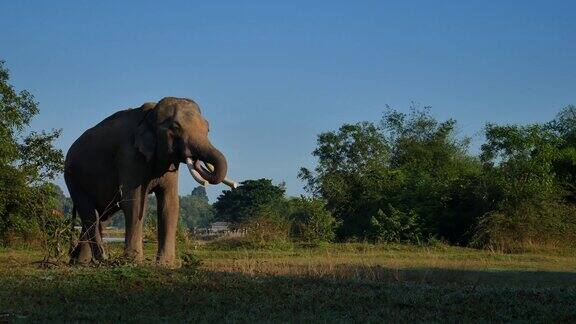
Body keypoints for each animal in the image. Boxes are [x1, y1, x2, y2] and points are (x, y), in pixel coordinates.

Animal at [65, 97, 227, 268]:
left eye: (208, 129)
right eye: (175, 128)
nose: (196, 160)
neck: (151, 114)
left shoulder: (169, 165)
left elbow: (170, 203)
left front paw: (165, 264)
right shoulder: (129, 156)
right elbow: (134, 202)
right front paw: (133, 261)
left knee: (101, 216)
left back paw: (80, 262)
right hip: (73, 179)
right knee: (89, 214)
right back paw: (101, 259)